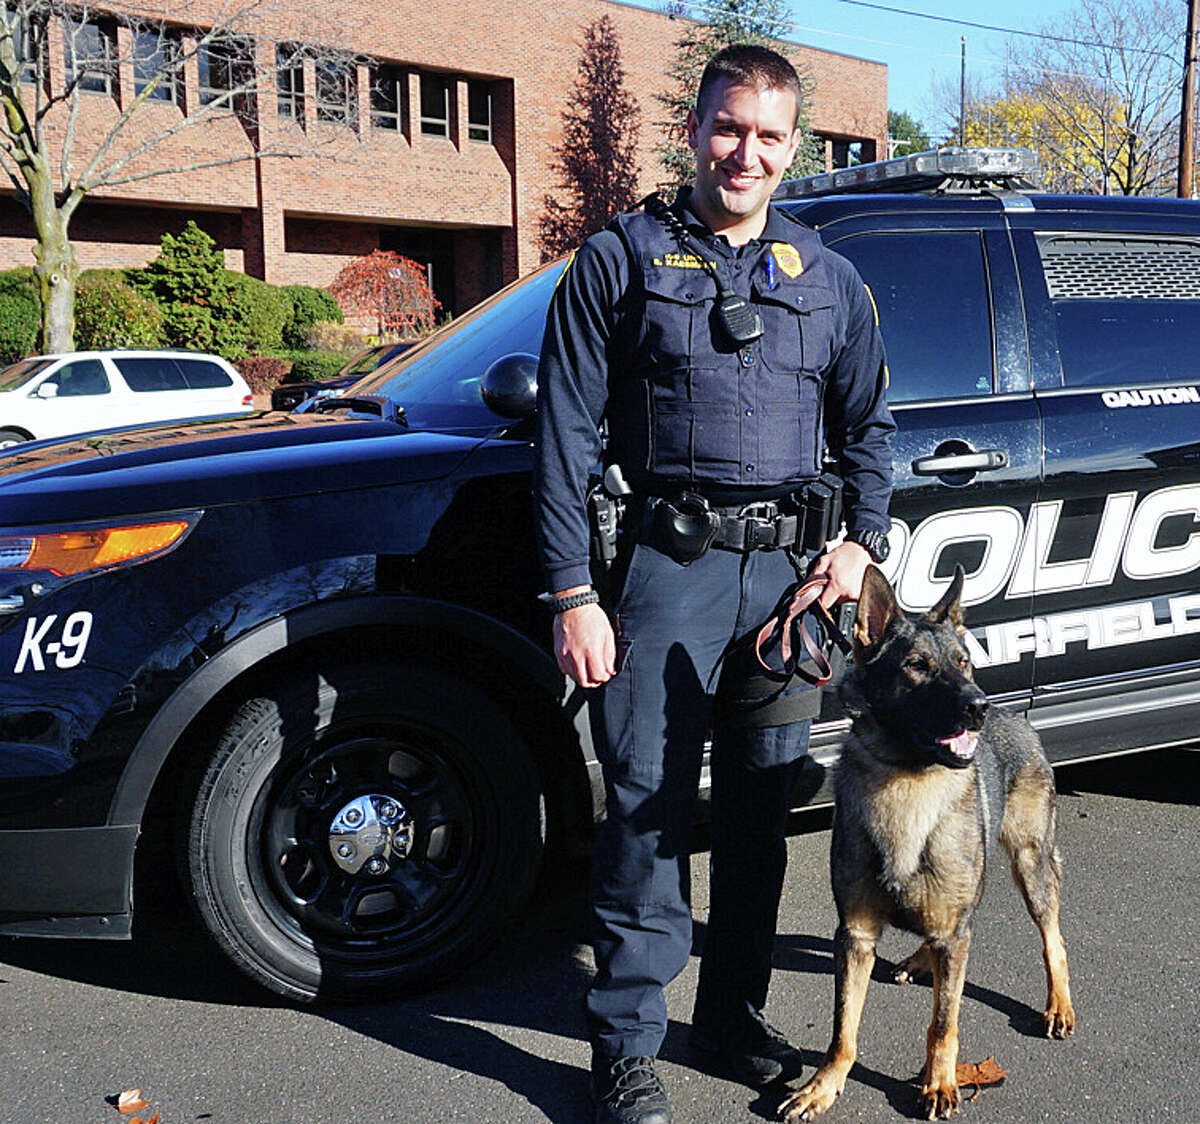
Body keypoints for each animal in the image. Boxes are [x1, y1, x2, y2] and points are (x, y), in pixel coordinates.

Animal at [777, 570, 1080, 1122]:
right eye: (917, 666)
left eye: (963, 662)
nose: (977, 705)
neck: (909, 782)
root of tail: (1016, 715)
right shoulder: (855, 937)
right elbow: (842, 1029)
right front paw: (824, 1085)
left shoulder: (948, 936)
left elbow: (944, 1022)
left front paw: (939, 1083)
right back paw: (922, 960)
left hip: (1031, 866)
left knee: (1053, 940)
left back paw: (1058, 1005)